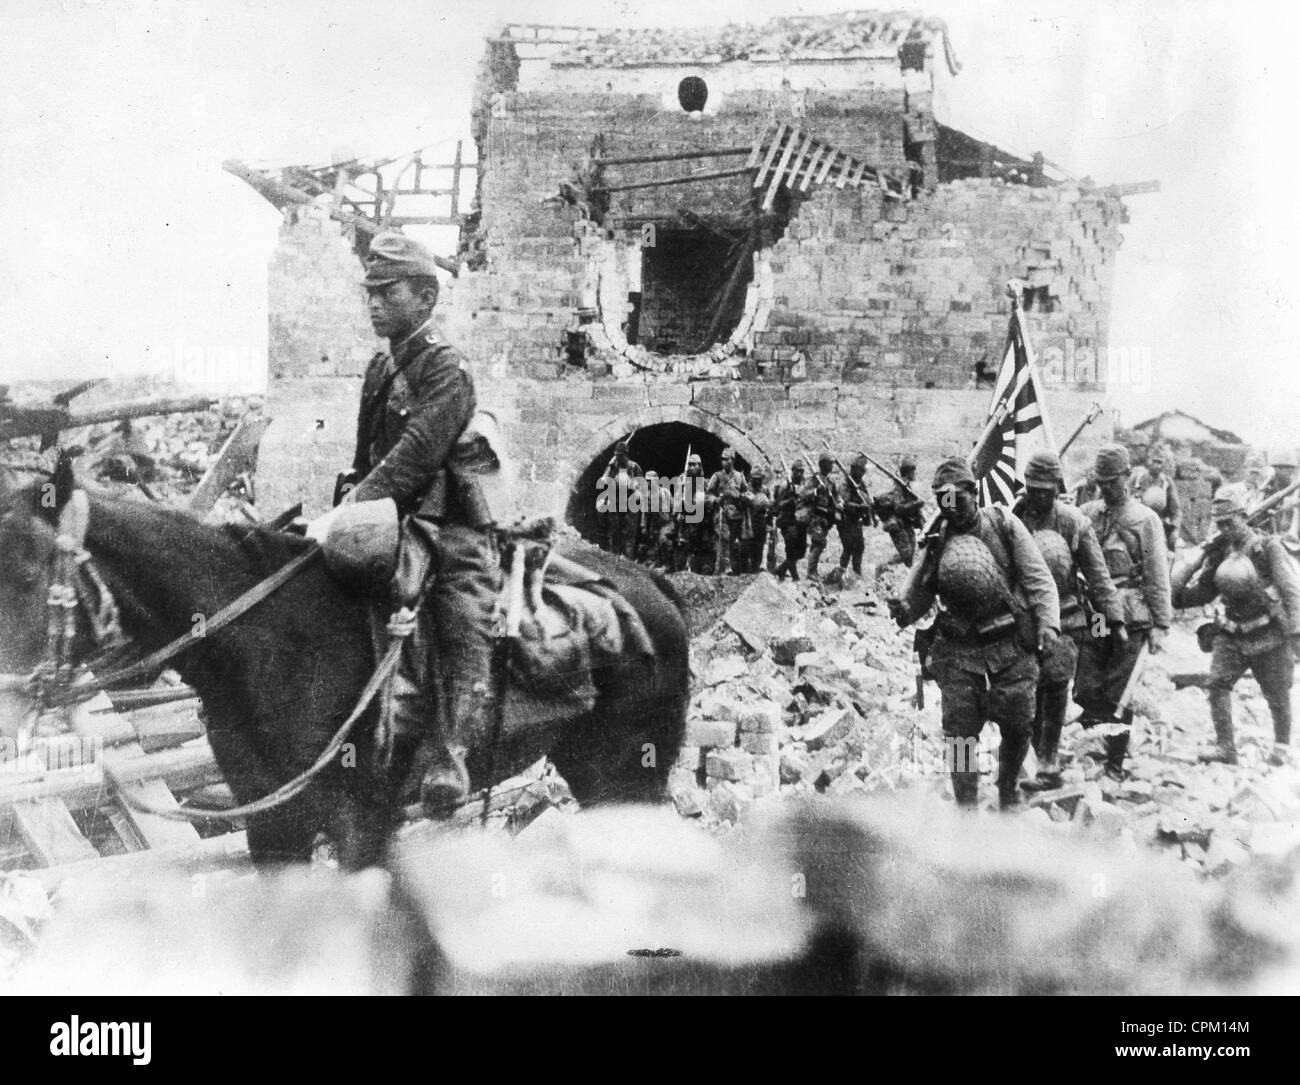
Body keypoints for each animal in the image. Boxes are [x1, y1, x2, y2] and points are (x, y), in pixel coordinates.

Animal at [0, 467, 691, 873]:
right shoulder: (270, 822)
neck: (269, 644)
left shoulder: (361, 824)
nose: (9, 713)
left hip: (629, 774)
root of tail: (652, 588)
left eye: (30, 576)